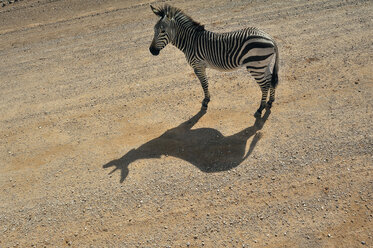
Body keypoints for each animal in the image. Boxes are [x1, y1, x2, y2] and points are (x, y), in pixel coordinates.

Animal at [150, 3, 278, 116]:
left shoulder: (198, 66)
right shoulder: (200, 66)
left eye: (162, 31)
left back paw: (260, 109)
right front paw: (207, 99)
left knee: (264, 86)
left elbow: (204, 84)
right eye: (154, 29)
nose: (152, 51)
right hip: (263, 65)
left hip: (255, 66)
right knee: (270, 80)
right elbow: (205, 83)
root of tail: (269, 37)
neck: (191, 42)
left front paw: (206, 101)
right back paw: (270, 102)